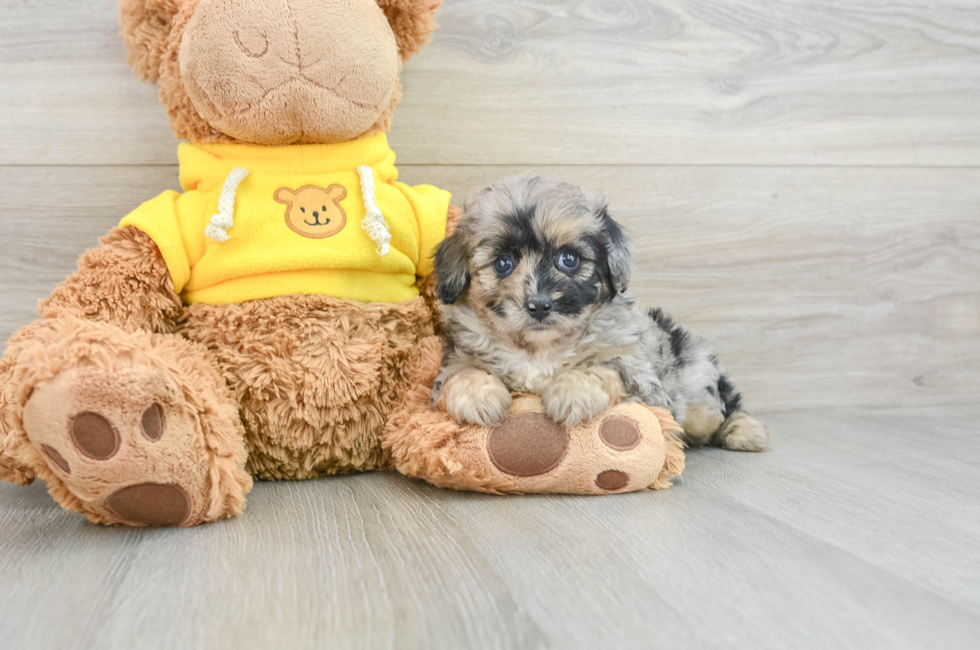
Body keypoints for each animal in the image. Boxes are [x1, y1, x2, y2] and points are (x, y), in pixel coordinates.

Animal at [432, 173, 768, 450]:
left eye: (569, 259)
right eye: (503, 263)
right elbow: (461, 372)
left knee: (723, 406)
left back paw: (744, 430)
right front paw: (478, 395)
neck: (539, 350)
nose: (539, 305)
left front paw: (571, 392)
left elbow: (603, 366)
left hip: (698, 391)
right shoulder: (455, 359)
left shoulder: (645, 382)